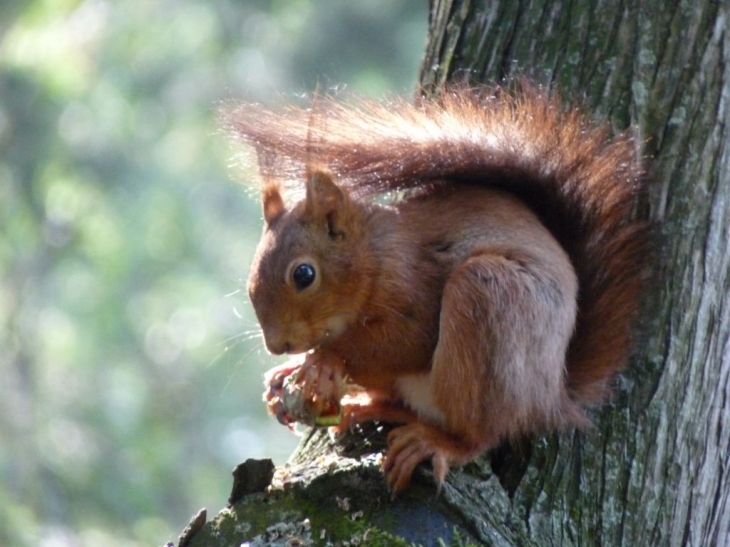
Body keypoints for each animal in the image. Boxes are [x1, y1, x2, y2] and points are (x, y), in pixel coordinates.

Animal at [226, 86, 644, 496]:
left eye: (304, 274)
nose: (277, 346)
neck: (374, 253)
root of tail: (552, 394)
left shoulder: (415, 285)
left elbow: (408, 341)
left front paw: (324, 360)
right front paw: (286, 373)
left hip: (488, 299)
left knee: (479, 434)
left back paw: (437, 442)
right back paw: (371, 408)